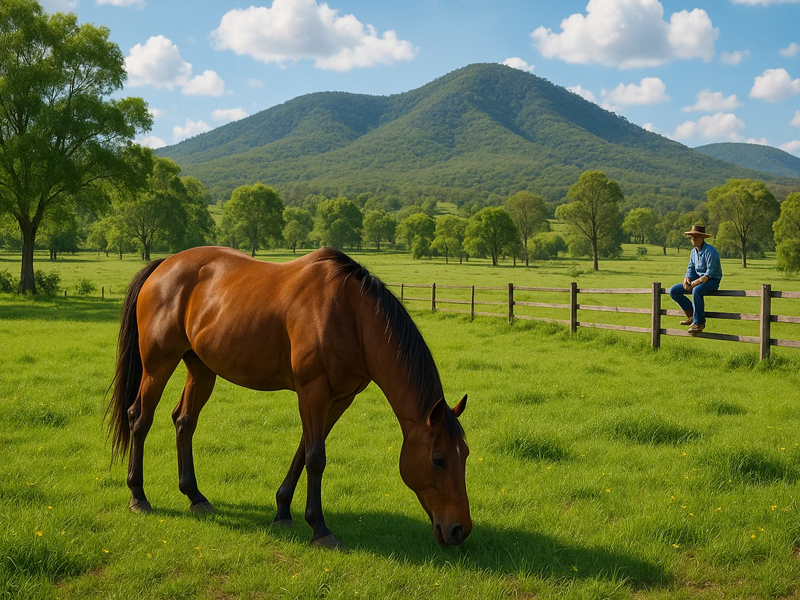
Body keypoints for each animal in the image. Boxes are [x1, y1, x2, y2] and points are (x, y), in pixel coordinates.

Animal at [107, 246, 471, 547]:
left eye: (465, 455)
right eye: (438, 459)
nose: (460, 530)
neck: (351, 315)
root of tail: (163, 265)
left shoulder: (339, 398)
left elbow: (305, 449)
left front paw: (283, 510)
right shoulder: (313, 390)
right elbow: (316, 457)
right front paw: (320, 528)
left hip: (201, 369)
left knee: (184, 421)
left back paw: (195, 496)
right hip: (158, 365)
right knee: (139, 419)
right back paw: (138, 496)